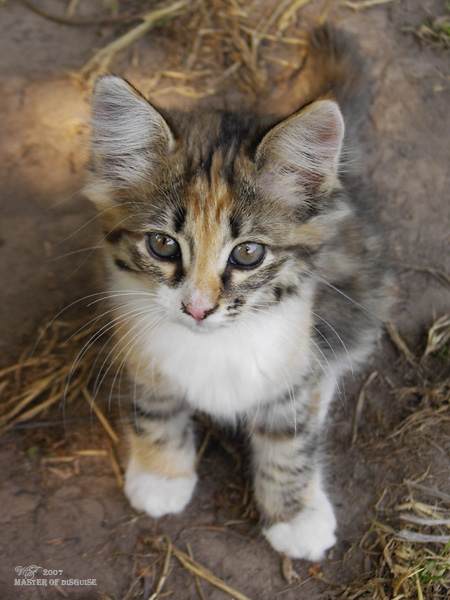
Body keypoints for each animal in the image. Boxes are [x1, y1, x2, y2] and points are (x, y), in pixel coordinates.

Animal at [86, 25, 392, 560]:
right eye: (163, 244)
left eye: (248, 253)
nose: (198, 308)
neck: (214, 346)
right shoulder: (139, 347)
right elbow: (154, 407)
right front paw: (161, 474)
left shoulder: (295, 362)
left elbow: (292, 436)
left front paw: (295, 515)